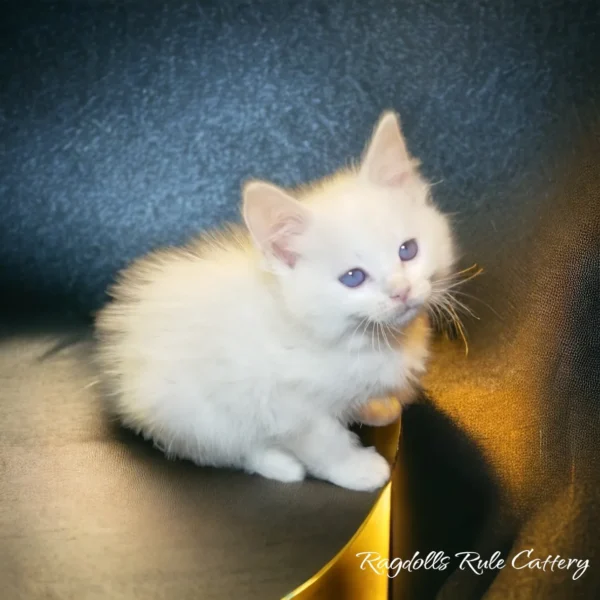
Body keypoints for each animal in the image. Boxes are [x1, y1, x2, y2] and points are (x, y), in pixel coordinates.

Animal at [96, 112, 454, 492]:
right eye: (353, 277)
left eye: (408, 250)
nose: (401, 291)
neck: (360, 340)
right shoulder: (285, 403)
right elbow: (325, 442)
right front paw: (357, 469)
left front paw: (375, 407)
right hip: (194, 413)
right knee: (220, 449)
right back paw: (279, 464)